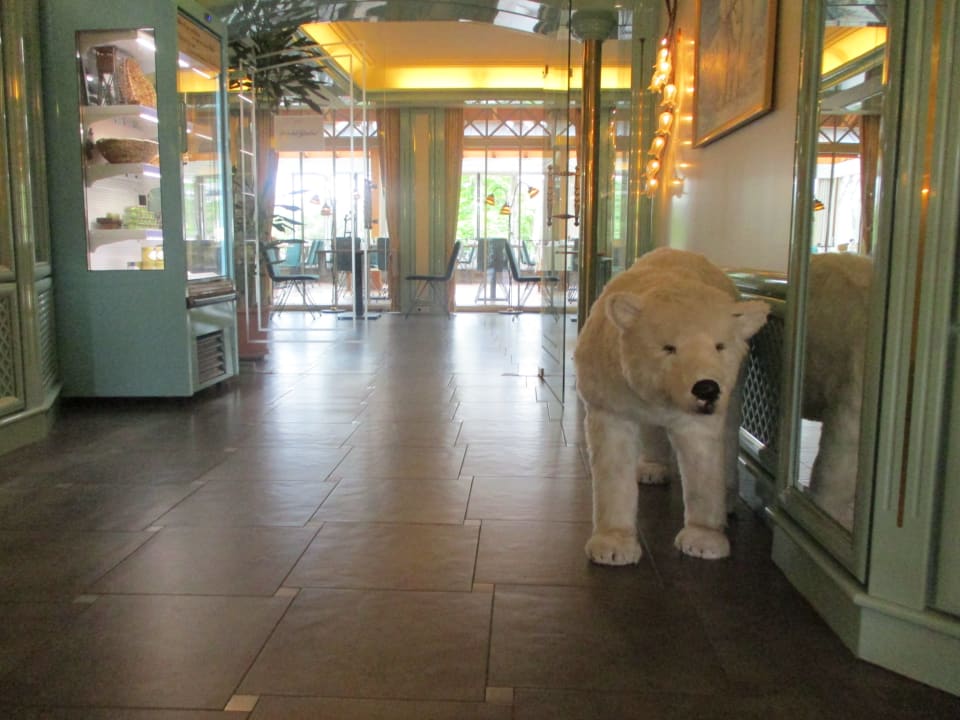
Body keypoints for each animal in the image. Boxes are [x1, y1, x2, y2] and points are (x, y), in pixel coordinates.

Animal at [575, 247, 770, 564]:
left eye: (719, 346)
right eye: (668, 347)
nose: (706, 388)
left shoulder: (702, 416)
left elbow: (703, 461)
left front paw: (704, 540)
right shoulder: (611, 399)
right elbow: (613, 463)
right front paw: (613, 545)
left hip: (736, 386)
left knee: (729, 434)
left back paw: (728, 499)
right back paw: (652, 470)